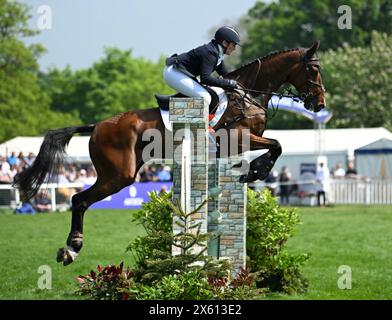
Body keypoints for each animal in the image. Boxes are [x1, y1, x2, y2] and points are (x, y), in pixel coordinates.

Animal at [13, 40, 324, 264]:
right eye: (313, 70)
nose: (319, 104)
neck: (247, 95)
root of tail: (97, 125)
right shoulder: (237, 137)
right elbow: (277, 145)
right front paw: (256, 172)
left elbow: (275, 146)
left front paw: (252, 172)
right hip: (119, 175)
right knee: (79, 200)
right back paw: (72, 248)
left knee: (80, 200)